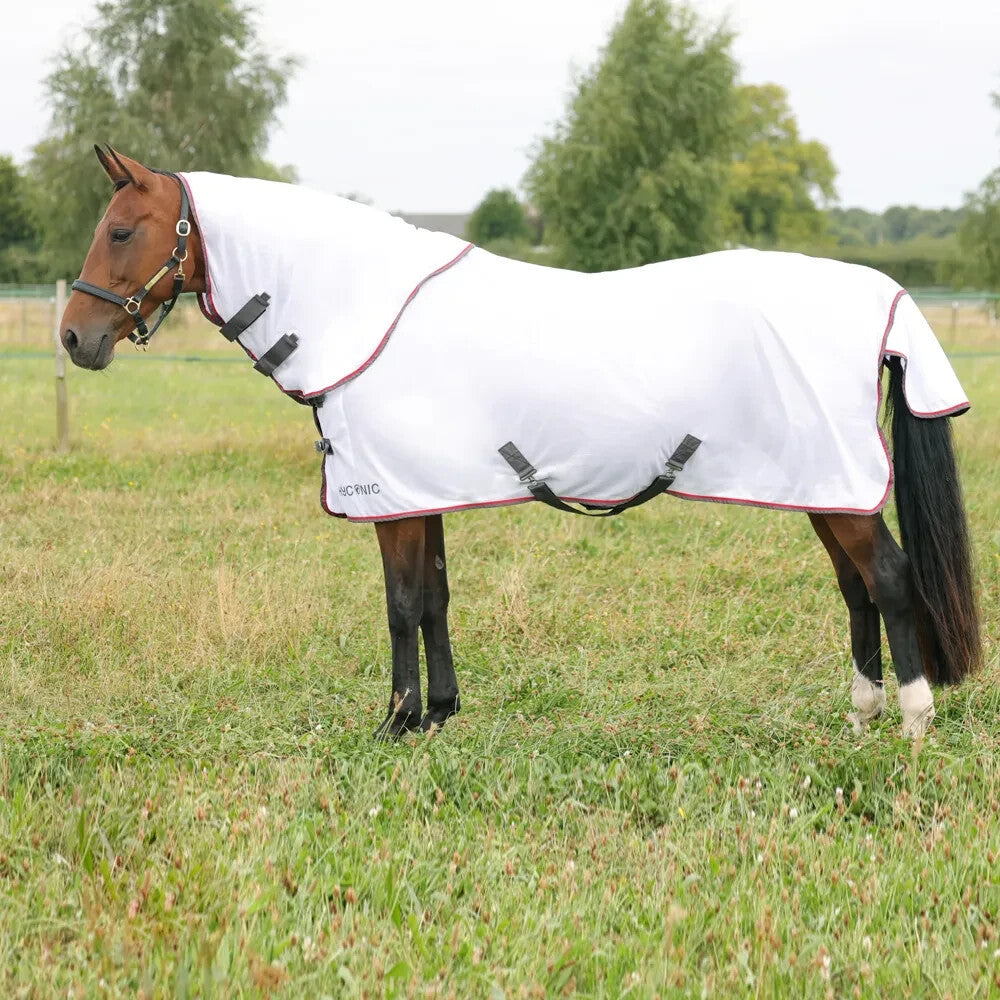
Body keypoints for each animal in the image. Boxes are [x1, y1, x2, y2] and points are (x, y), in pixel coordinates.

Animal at [59, 146, 981, 739]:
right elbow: (434, 598)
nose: (74, 337)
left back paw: (912, 720)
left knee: (889, 580)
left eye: (120, 231)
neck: (364, 312)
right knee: (857, 588)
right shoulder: (420, 491)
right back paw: (862, 713)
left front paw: (394, 723)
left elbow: (401, 605)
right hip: (823, 485)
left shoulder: (391, 502)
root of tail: (883, 295)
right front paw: (438, 714)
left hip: (841, 486)